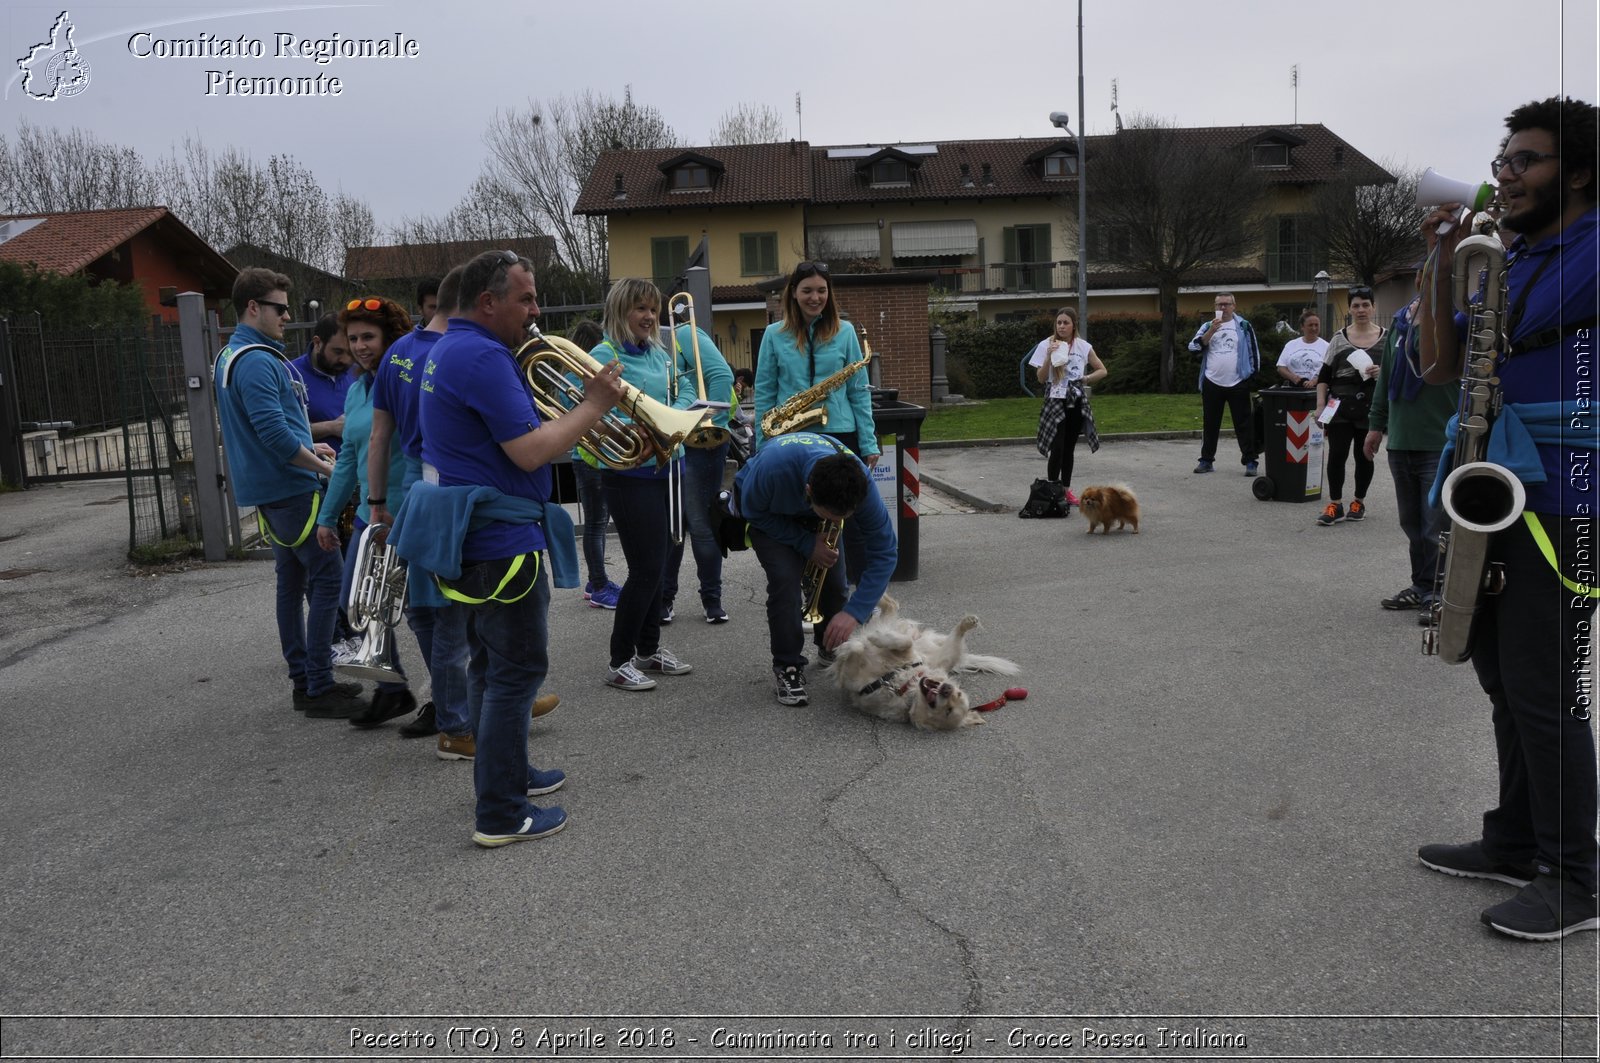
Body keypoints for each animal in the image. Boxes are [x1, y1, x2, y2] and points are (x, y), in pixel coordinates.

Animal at [819, 592, 1017, 736]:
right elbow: (904, 642)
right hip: (932, 651)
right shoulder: (909, 653)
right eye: (959, 693)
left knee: (890, 607)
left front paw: (849, 647)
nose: (947, 689)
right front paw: (872, 639)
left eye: (948, 711)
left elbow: (854, 651)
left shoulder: (853, 680)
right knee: (892, 610)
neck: (903, 687)